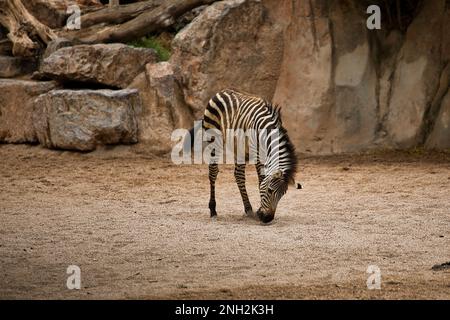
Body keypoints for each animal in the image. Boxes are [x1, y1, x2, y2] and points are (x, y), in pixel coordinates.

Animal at [186, 87, 298, 222]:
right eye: (270, 191)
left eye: (283, 194)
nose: (268, 218)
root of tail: (222, 91)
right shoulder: (258, 153)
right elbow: (261, 180)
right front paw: (260, 210)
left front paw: (258, 210)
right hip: (214, 138)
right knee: (213, 172)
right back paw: (213, 209)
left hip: (239, 147)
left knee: (238, 175)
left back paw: (248, 208)